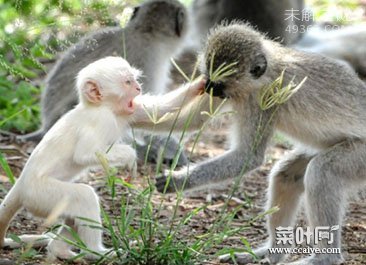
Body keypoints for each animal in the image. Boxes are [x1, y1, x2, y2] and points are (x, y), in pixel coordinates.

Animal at [0, 56, 206, 260]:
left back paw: (59, 250)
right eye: (127, 82)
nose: (138, 88)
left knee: (73, 214)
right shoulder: (100, 119)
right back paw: (96, 252)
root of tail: (21, 183)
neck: (102, 106)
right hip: (39, 195)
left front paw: (201, 84)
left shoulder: (127, 112)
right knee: (83, 197)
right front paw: (130, 157)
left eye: (134, 80)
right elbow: (84, 155)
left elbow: (159, 111)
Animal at [157, 23, 366, 264]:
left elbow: (248, 157)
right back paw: (271, 252)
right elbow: (188, 120)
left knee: (323, 173)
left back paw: (323, 258)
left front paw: (178, 180)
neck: (266, 73)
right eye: (209, 76)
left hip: (361, 156)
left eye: (219, 83)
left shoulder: (262, 101)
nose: (207, 87)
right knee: (286, 175)